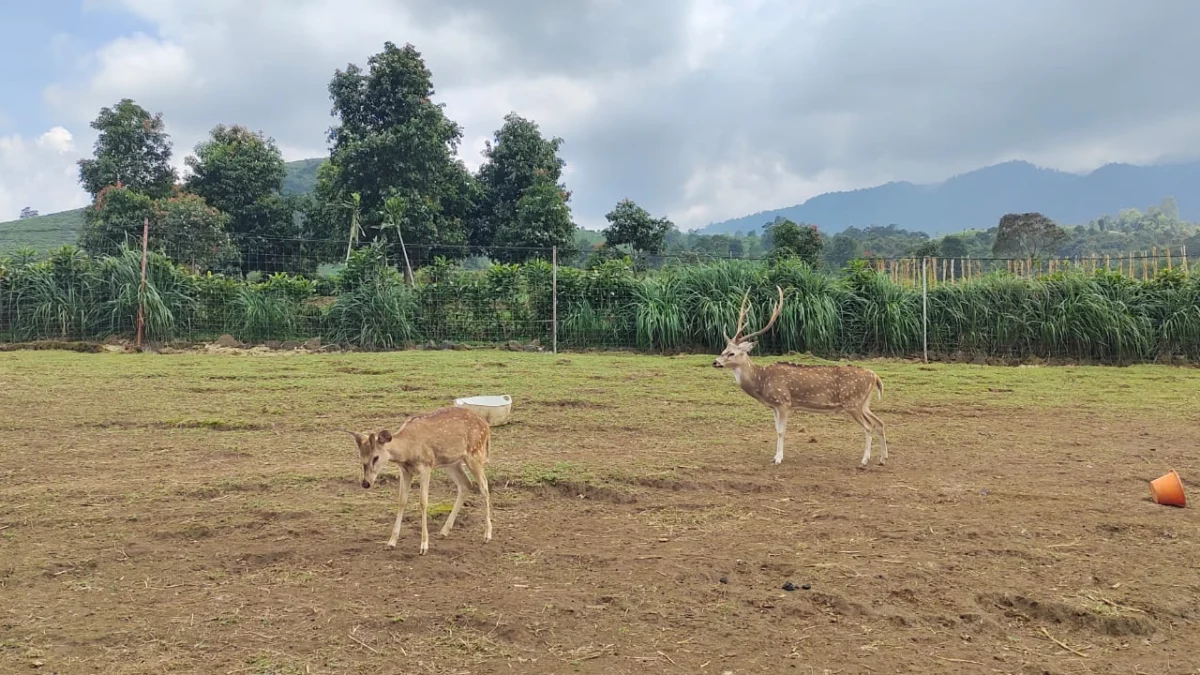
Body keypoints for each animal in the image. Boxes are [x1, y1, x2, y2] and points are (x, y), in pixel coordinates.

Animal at [345, 403, 494, 552]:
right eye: (361, 457)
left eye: (375, 457)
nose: (366, 483)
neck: (407, 452)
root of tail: (486, 425)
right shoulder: (405, 471)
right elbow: (401, 501)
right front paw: (391, 542)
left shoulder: (426, 466)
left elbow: (423, 502)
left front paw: (424, 545)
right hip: (452, 462)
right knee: (465, 485)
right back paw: (444, 531)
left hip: (475, 453)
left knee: (484, 486)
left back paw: (487, 535)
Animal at [710, 284, 892, 468]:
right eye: (723, 350)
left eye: (732, 353)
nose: (715, 362)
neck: (761, 382)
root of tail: (875, 377)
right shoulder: (774, 407)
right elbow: (776, 430)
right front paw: (775, 456)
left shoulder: (783, 401)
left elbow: (781, 431)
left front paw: (778, 458)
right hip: (864, 403)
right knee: (880, 422)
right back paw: (883, 459)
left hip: (853, 402)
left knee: (869, 426)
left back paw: (864, 460)